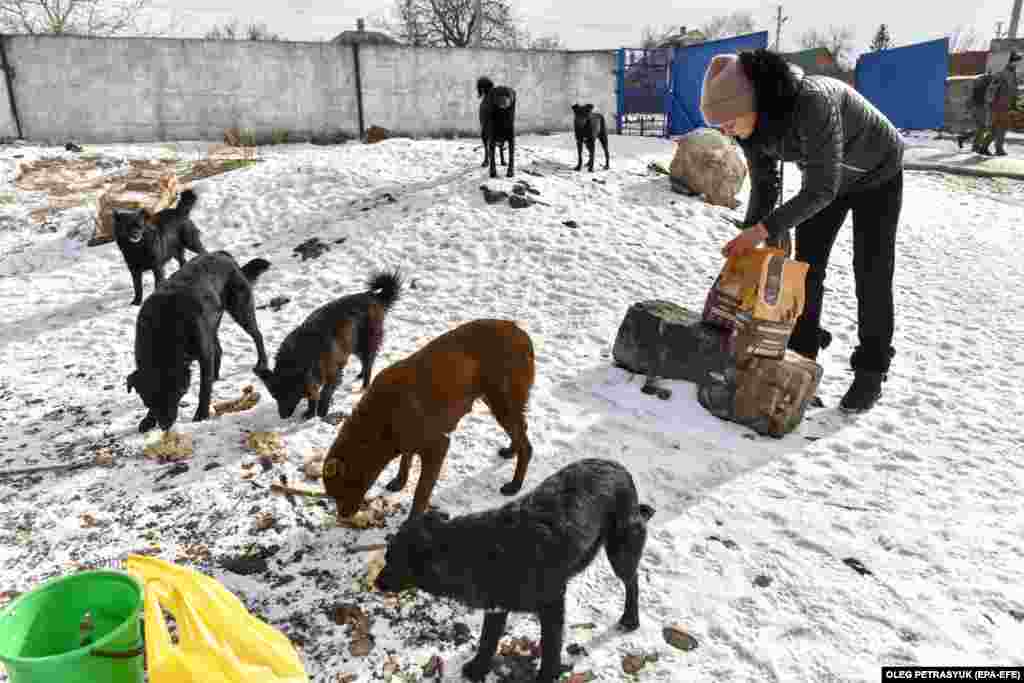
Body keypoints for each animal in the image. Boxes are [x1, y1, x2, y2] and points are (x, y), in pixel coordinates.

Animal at [126, 250, 272, 432]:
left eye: (172, 395)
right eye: (148, 401)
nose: (165, 426)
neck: (164, 329)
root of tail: (223, 254)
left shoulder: (203, 353)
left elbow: (204, 389)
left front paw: (201, 414)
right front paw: (148, 419)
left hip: (240, 310)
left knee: (257, 336)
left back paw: (261, 362)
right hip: (212, 324)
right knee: (218, 349)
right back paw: (215, 376)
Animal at [253, 268, 401, 419]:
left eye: (289, 395)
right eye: (275, 397)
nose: (282, 416)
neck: (300, 357)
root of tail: (373, 297)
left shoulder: (332, 373)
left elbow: (324, 392)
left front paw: (321, 410)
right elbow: (313, 396)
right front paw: (310, 412)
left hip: (366, 343)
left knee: (369, 364)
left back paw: (364, 386)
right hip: (354, 345)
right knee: (365, 363)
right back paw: (360, 375)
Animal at [323, 317, 536, 520]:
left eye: (340, 493)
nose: (342, 517)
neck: (379, 423)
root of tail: (522, 334)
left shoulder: (437, 446)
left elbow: (421, 492)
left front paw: (412, 522)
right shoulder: (408, 441)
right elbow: (406, 459)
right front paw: (400, 481)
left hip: (501, 401)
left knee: (527, 446)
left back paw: (515, 485)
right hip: (495, 401)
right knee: (522, 428)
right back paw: (511, 451)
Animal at [376, 458, 655, 683]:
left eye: (391, 560)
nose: (377, 583)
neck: (476, 552)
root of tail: (619, 468)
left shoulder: (553, 605)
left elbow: (551, 648)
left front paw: (546, 677)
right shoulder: (496, 606)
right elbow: (487, 641)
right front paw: (479, 669)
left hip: (621, 552)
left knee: (632, 581)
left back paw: (631, 618)